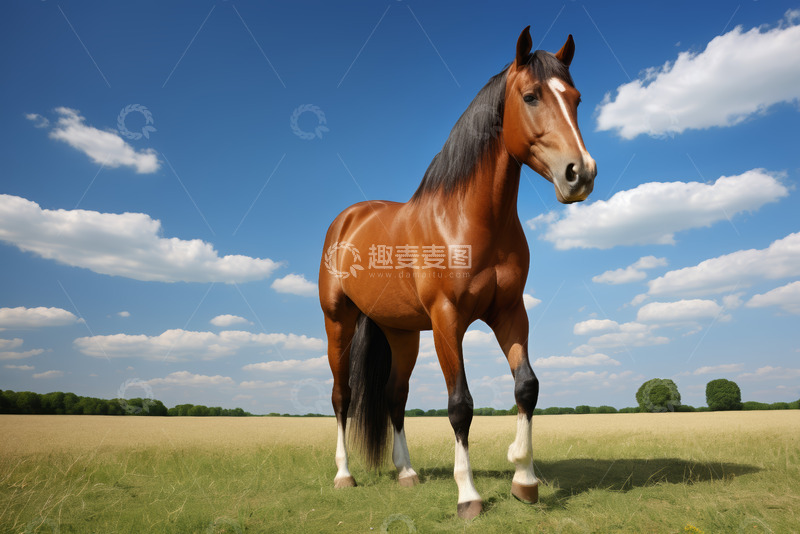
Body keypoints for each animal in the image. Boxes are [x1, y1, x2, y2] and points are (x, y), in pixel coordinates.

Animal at [318, 26, 596, 519]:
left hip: (402, 334)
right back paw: (344, 475)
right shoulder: (448, 319)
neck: (467, 221)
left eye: (577, 99)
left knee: (394, 396)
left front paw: (524, 478)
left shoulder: (510, 312)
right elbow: (460, 405)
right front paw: (469, 494)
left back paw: (407, 473)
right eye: (530, 96)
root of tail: (348, 219)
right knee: (341, 397)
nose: (579, 173)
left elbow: (527, 386)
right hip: (339, 322)